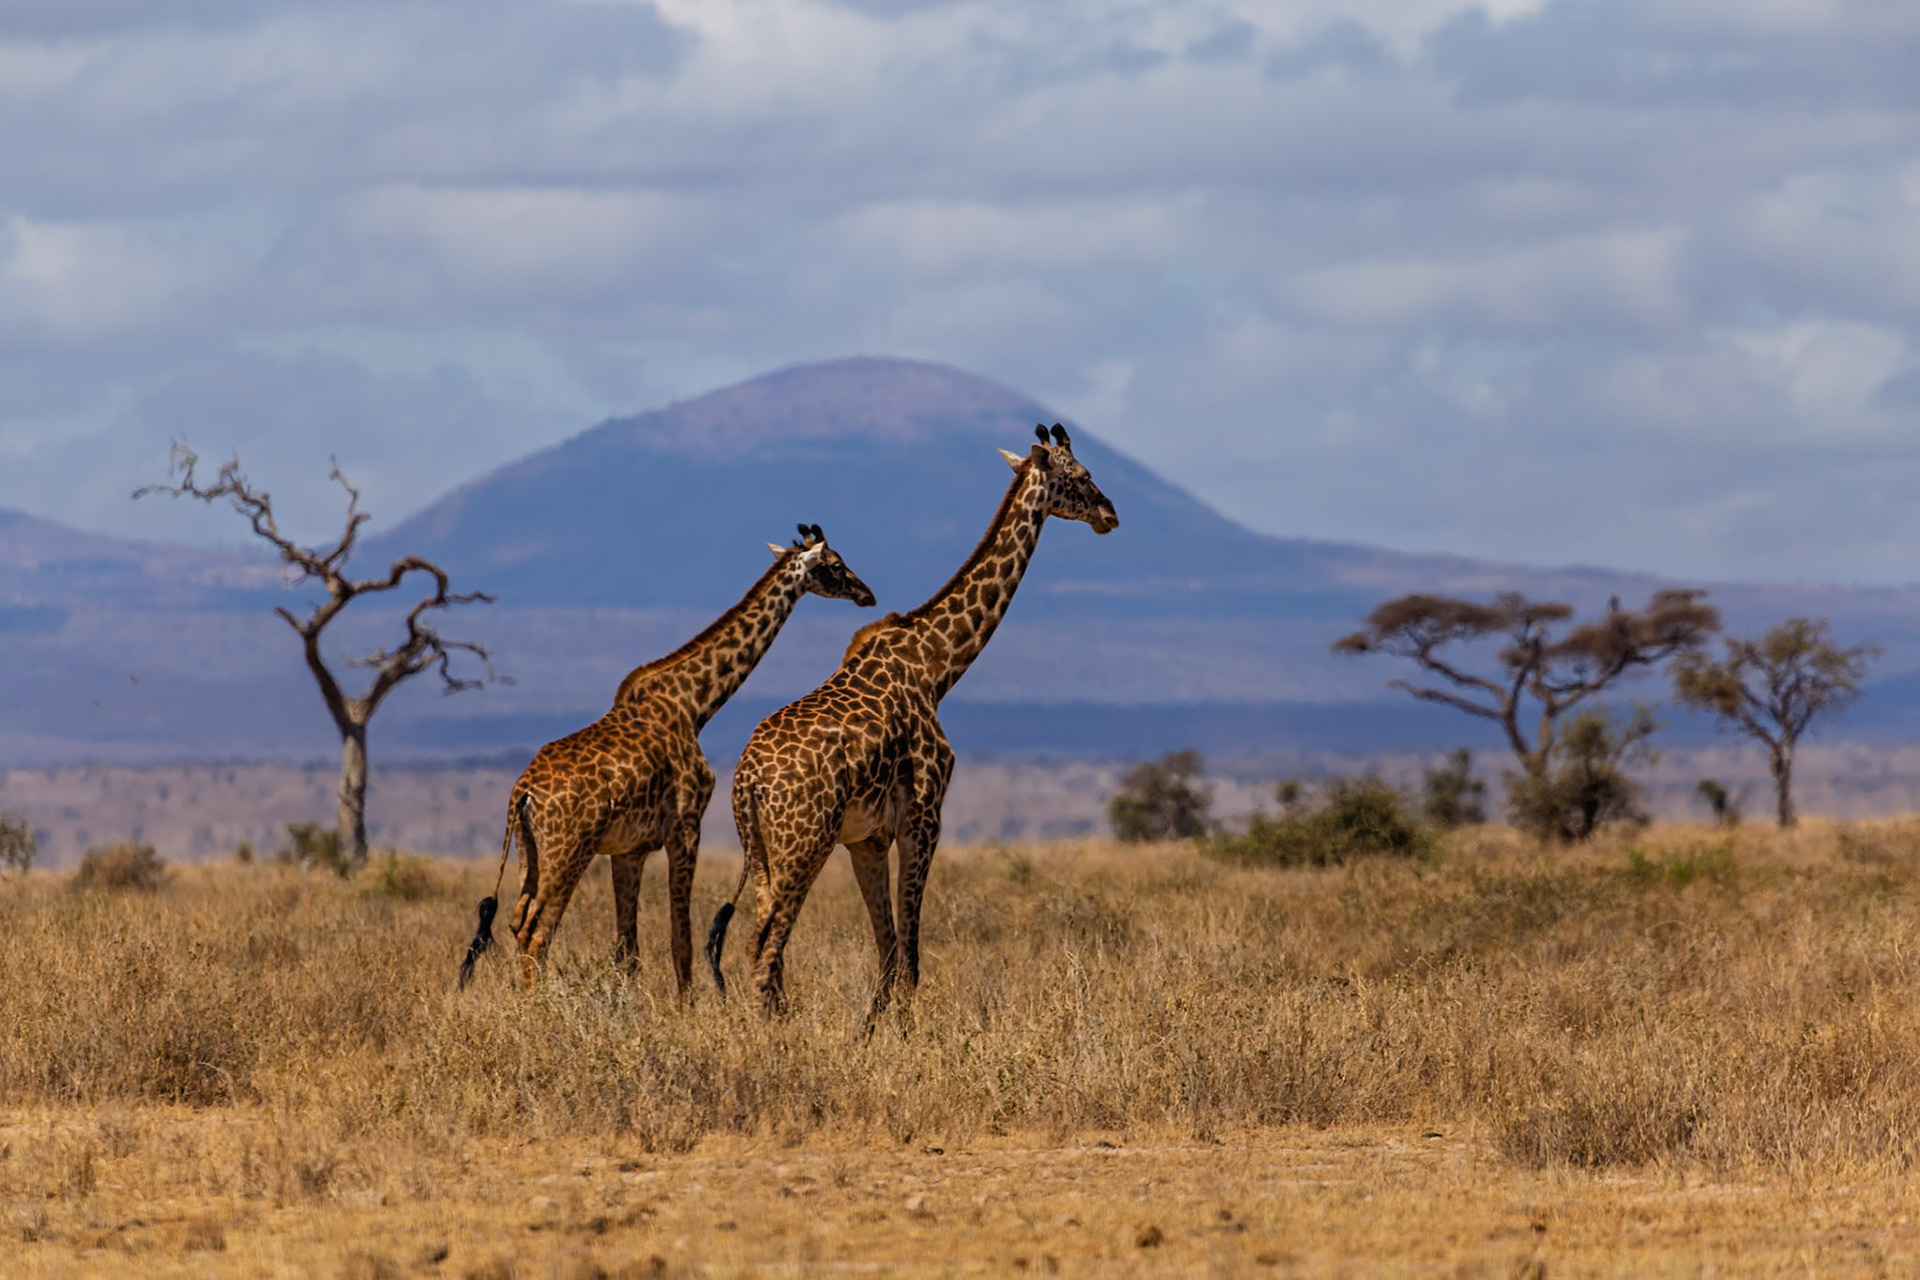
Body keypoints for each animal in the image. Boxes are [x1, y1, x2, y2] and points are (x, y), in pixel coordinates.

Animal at [458, 525, 876, 992]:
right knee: (537, 930)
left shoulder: (629, 849)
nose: (867, 595)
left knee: (516, 922)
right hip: (568, 850)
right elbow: (682, 941)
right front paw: (686, 1005)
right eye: (836, 565)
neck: (695, 704)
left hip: (529, 851)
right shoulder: (686, 827)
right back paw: (537, 1004)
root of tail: (523, 792)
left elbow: (628, 948)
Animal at [707, 425, 1117, 1020]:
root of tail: (747, 780)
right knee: (764, 950)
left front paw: (870, 1032)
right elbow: (912, 956)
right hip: (803, 843)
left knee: (760, 946)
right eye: (1082, 477)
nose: (1111, 513)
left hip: (760, 851)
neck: (937, 665)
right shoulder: (924, 818)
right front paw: (903, 1033)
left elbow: (887, 950)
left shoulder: (868, 839)